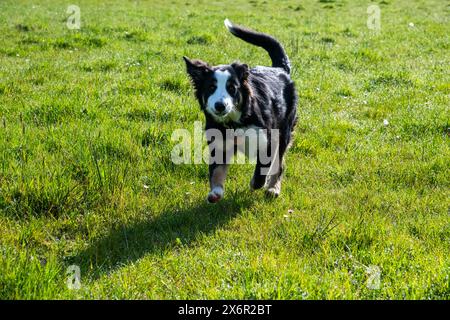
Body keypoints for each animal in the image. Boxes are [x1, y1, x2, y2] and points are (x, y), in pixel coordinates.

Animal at [181, 18, 298, 202]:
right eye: (211, 87)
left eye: (232, 88)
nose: (220, 106)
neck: (234, 123)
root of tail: (279, 69)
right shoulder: (218, 145)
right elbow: (217, 170)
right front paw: (215, 192)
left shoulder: (268, 140)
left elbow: (262, 170)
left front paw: (256, 184)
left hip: (284, 130)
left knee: (280, 164)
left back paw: (273, 188)